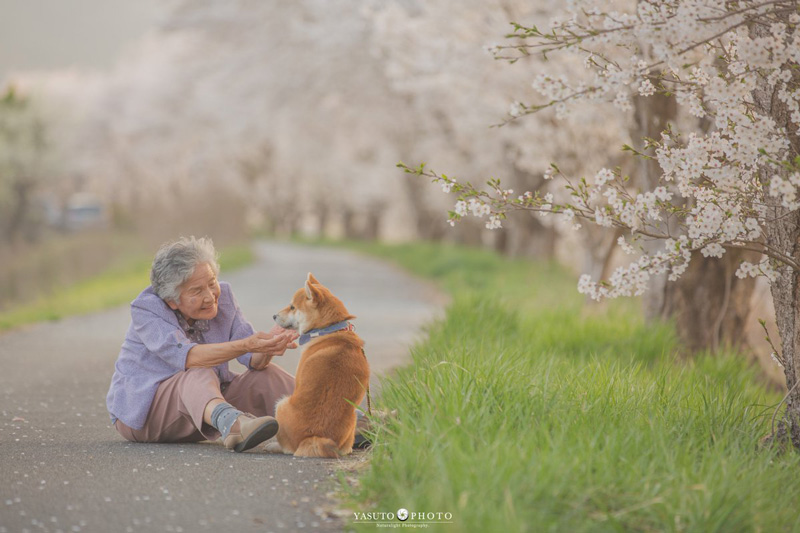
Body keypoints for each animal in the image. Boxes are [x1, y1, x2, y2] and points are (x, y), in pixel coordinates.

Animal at [268, 272, 370, 456]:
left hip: (280, 404)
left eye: (292, 307)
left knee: (288, 448)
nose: (274, 316)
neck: (329, 330)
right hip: (351, 419)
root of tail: (315, 437)